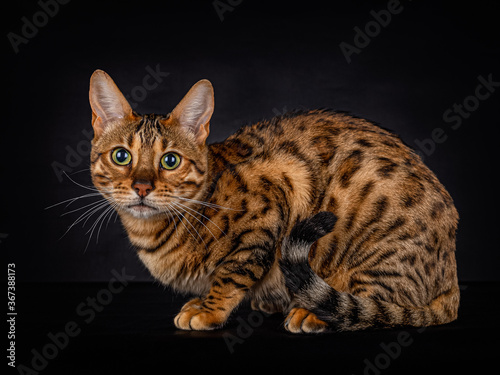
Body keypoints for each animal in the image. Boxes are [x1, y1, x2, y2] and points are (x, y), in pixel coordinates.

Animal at [88, 69, 458, 334]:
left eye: (170, 161)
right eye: (121, 156)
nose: (141, 187)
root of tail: (451, 278)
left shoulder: (275, 198)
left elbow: (231, 275)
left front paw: (209, 311)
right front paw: (200, 303)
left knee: (373, 305)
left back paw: (313, 313)